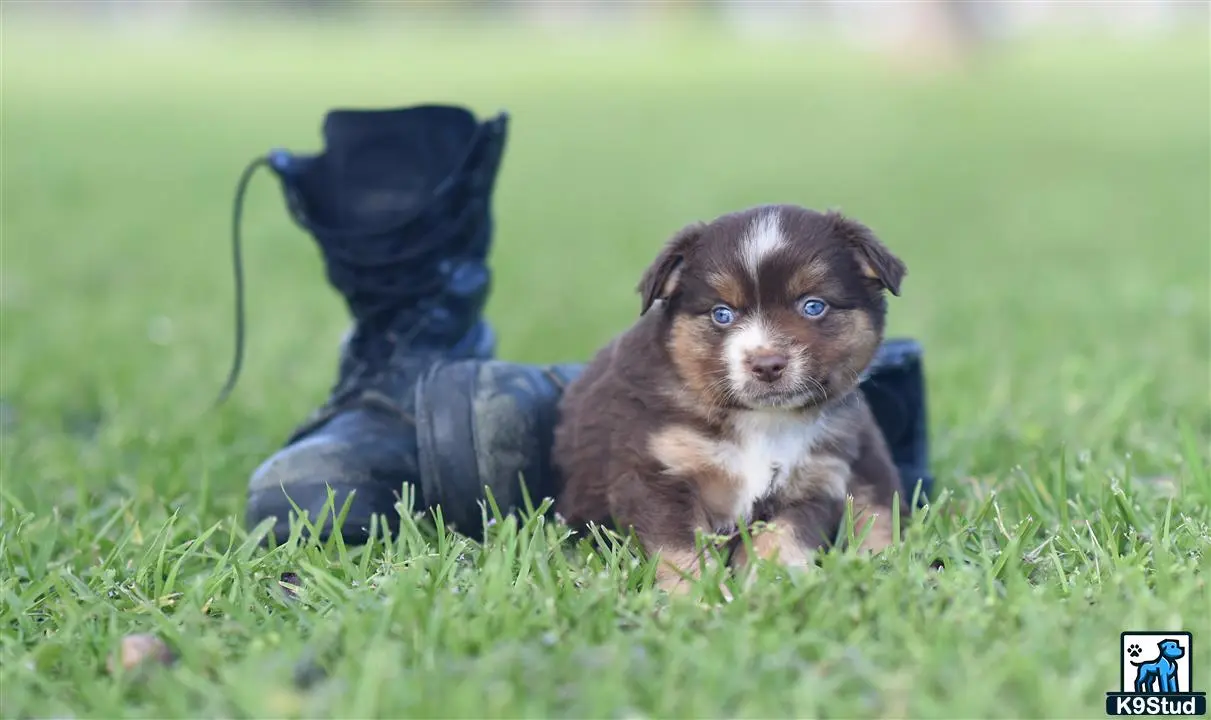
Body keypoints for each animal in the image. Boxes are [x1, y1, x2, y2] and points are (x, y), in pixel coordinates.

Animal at [549, 204, 910, 597]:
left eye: (813, 306)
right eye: (722, 313)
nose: (766, 365)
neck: (762, 421)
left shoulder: (814, 481)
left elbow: (781, 540)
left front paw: (770, 588)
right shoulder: (657, 474)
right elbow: (681, 551)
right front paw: (699, 598)